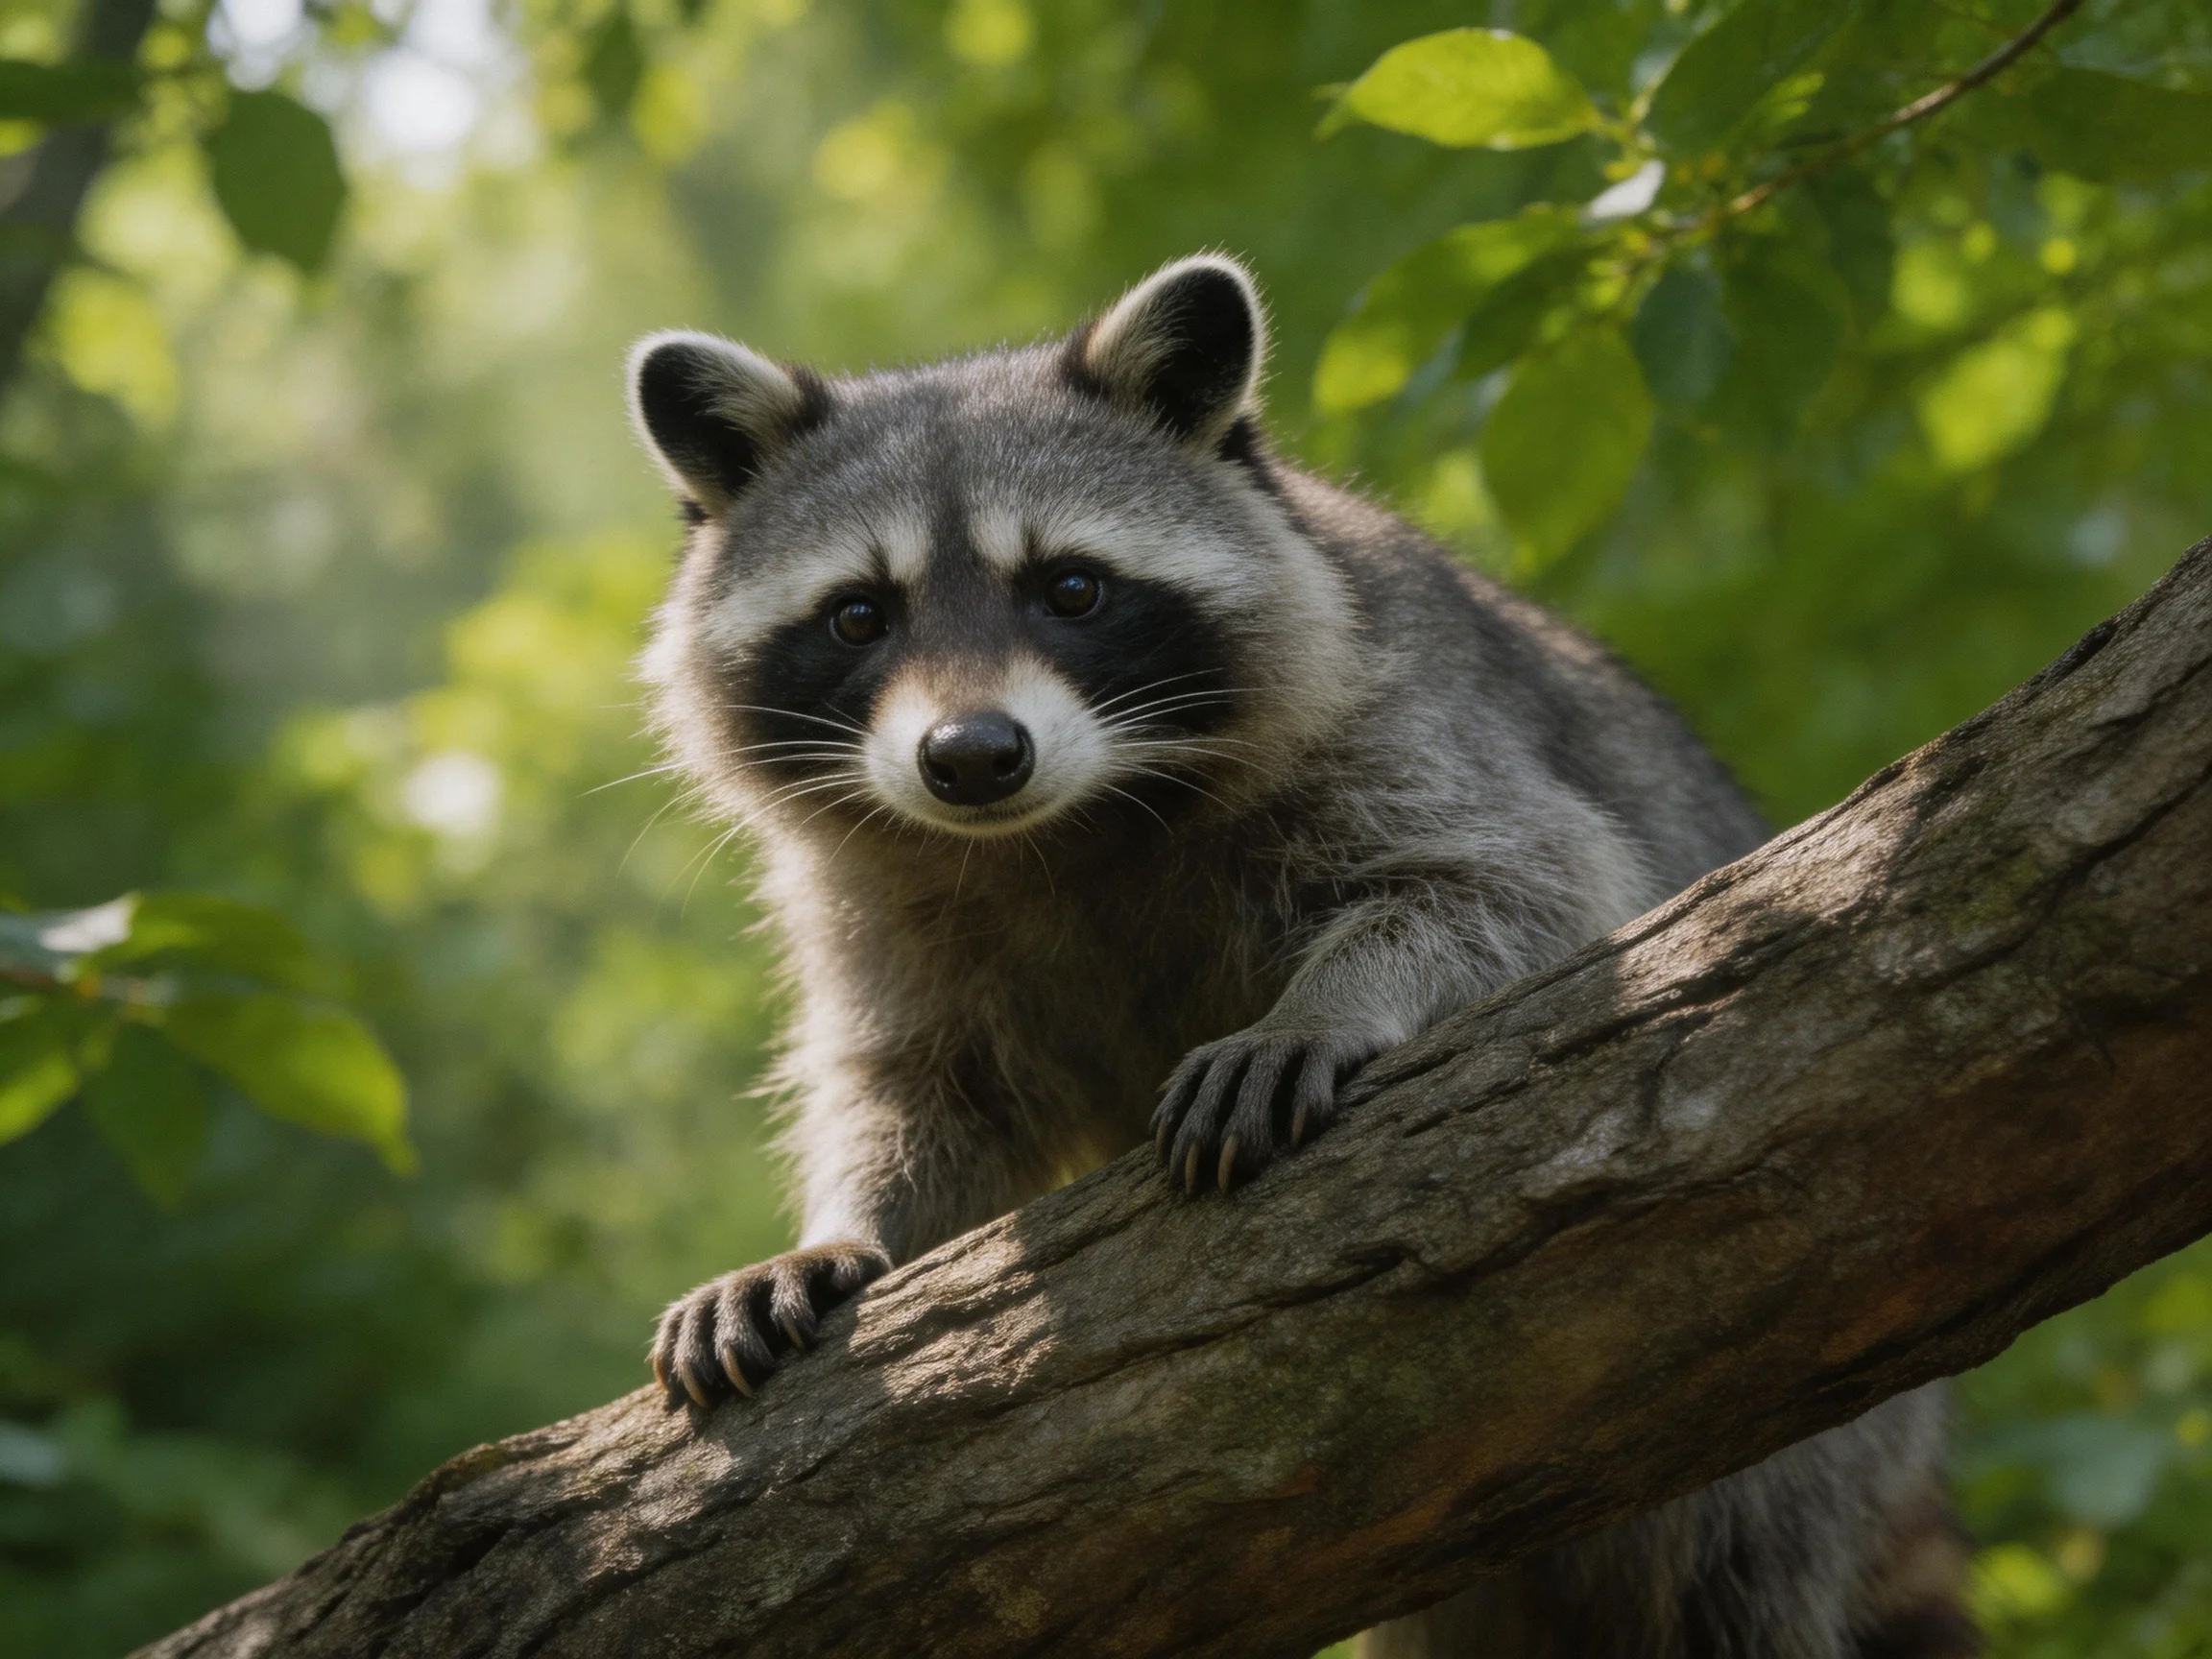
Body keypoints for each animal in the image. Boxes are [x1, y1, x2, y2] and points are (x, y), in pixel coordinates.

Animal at [624, 255, 1975, 1658]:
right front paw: (848, 1227)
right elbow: (917, 1087)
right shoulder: (881, 902)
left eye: (1070, 588)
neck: (1060, 826)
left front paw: (1325, 1006)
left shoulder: (1405, 713)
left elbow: (1515, 884)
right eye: (857, 617)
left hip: (1799, 1474)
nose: (973, 757)